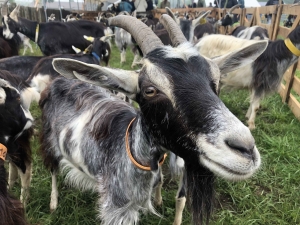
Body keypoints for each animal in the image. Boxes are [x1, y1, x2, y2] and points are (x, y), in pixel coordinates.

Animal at [38, 14, 266, 225]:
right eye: (150, 90)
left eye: (216, 81)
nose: (245, 149)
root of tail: (58, 81)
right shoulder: (117, 210)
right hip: (49, 142)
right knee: (53, 170)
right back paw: (53, 202)